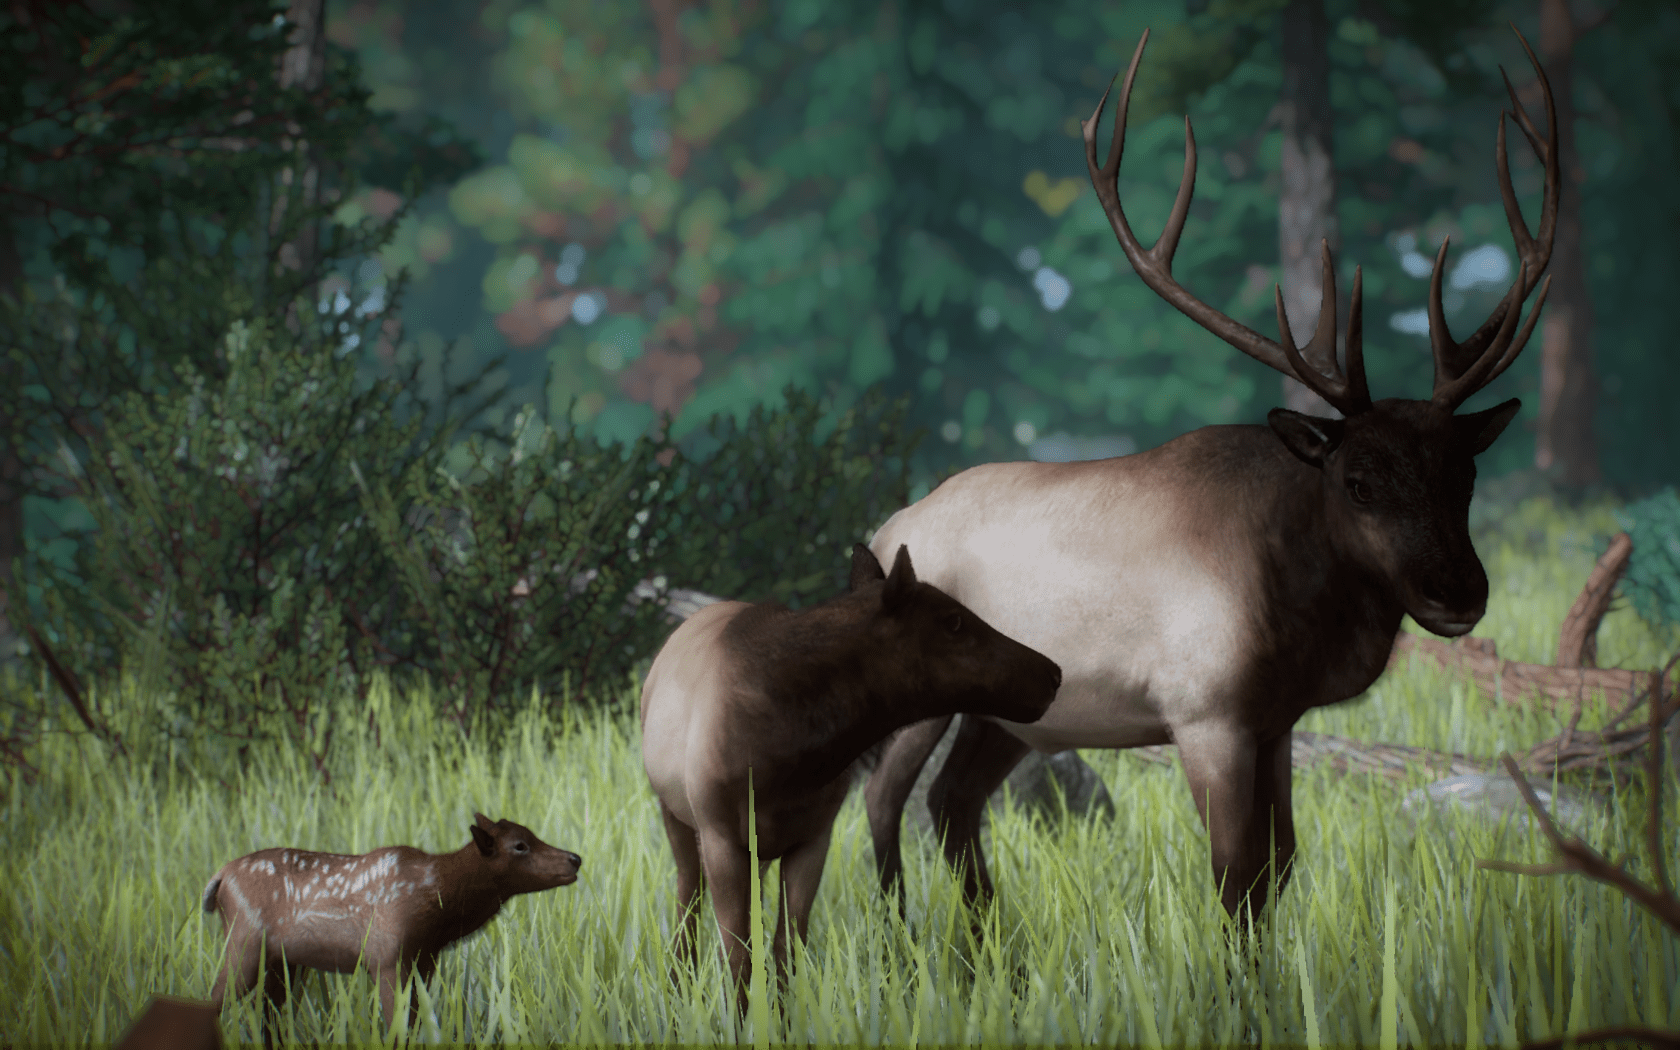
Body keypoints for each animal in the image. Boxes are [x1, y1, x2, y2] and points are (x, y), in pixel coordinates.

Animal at [201, 813, 580, 1044]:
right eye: (520, 845)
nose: (575, 859)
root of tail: (218, 879)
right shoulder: (387, 957)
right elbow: (395, 1029)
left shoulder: (424, 961)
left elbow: (415, 1025)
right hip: (245, 941)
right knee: (215, 1001)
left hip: (283, 962)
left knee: (269, 1019)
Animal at [640, 542, 1061, 1014]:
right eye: (953, 621)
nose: (1053, 673)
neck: (799, 756)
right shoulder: (722, 839)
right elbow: (738, 957)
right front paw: (742, 1020)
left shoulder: (812, 839)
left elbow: (787, 947)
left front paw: (784, 1018)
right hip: (678, 820)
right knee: (687, 900)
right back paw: (676, 989)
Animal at [861, 25, 1559, 935]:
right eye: (1359, 479)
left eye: (1466, 472)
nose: (1459, 591)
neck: (1298, 607)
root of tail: (882, 532)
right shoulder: (1205, 712)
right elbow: (1233, 876)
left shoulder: (1274, 721)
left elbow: (1279, 866)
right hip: (923, 688)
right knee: (882, 801)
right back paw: (898, 940)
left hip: (1013, 707)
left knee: (952, 801)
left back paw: (988, 946)